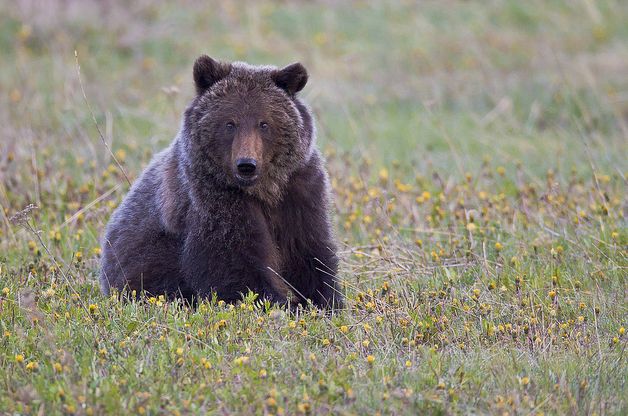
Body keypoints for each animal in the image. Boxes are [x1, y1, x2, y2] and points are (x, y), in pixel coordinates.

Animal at [100, 54, 340, 308]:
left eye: (264, 123)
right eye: (230, 123)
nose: (246, 164)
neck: (265, 190)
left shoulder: (299, 191)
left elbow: (309, 251)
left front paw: (325, 300)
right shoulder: (214, 198)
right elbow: (235, 266)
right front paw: (284, 303)